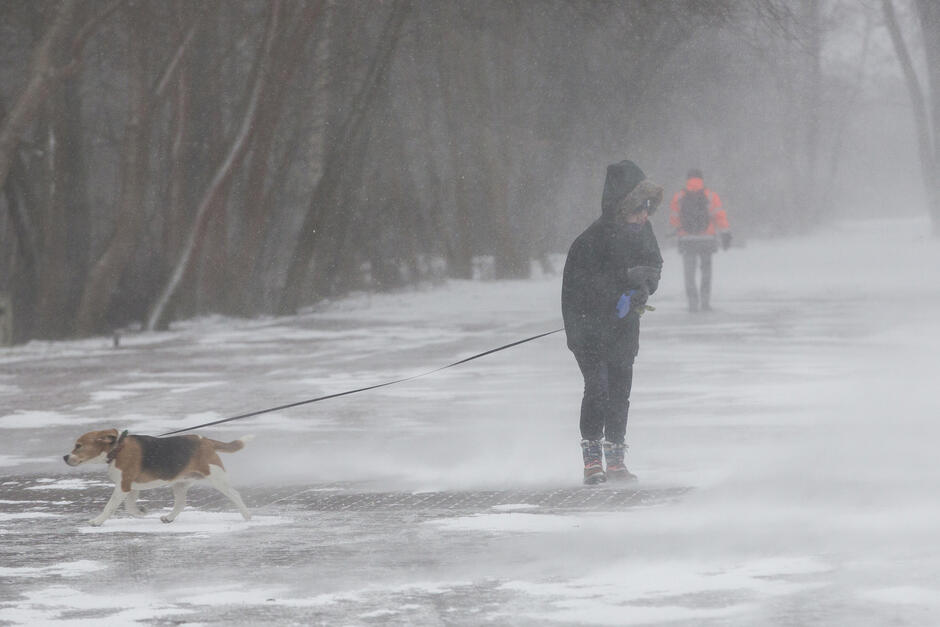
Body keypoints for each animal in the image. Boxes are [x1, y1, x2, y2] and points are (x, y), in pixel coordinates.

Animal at [62, 430, 253, 528]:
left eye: (78, 446)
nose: (65, 457)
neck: (117, 450)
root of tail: (205, 440)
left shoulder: (123, 486)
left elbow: (109, 507)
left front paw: (97, 521)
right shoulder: (131, 487)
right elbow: (130, 507)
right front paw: (141, 512)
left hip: (217, 478)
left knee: (235, 495)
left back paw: (247, 516)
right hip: (180, 483)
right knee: (180, 504)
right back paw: (169, 518)